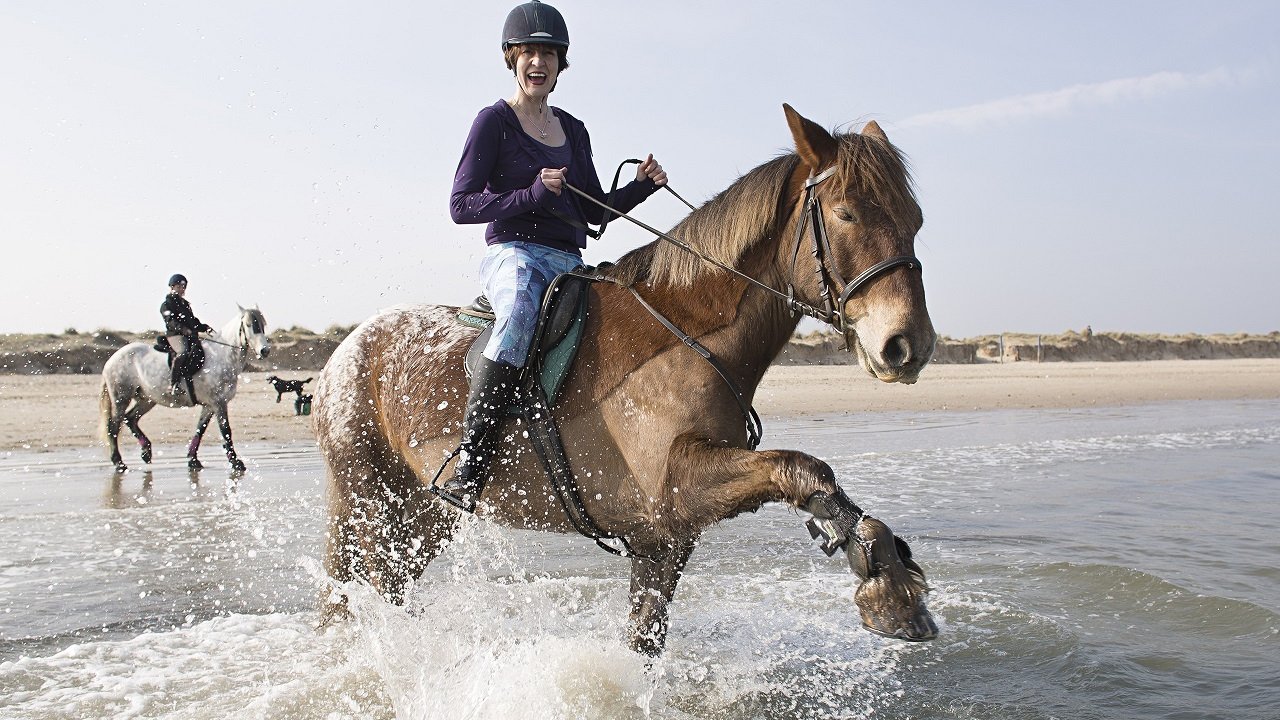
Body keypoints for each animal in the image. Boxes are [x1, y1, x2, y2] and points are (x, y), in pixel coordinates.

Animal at [99, 306, 270, 474]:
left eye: (263, 325)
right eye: (249, 325)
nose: (265, 350)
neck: (222, 356)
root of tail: (112, 359)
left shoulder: (209, 406)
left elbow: (200, 430)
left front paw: (193, 460)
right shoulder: (219, 403)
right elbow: (226, 431)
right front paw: (236, 462)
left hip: (147, 400)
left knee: (130, 418)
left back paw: (146, 451)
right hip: (121, 398)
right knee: (114, 427)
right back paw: (119, 463)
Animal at [314, 105, 939, 654]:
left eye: (915, 220)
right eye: (847, 214)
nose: (908, 345)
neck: (688, 334)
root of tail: (347, 349)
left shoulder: (665, 539)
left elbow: (644, 643)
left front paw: (888, 577)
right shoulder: (678, 486)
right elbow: (804, 468)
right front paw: (883, 577)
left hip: (423, 514)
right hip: (364, 501)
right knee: (349, 594)